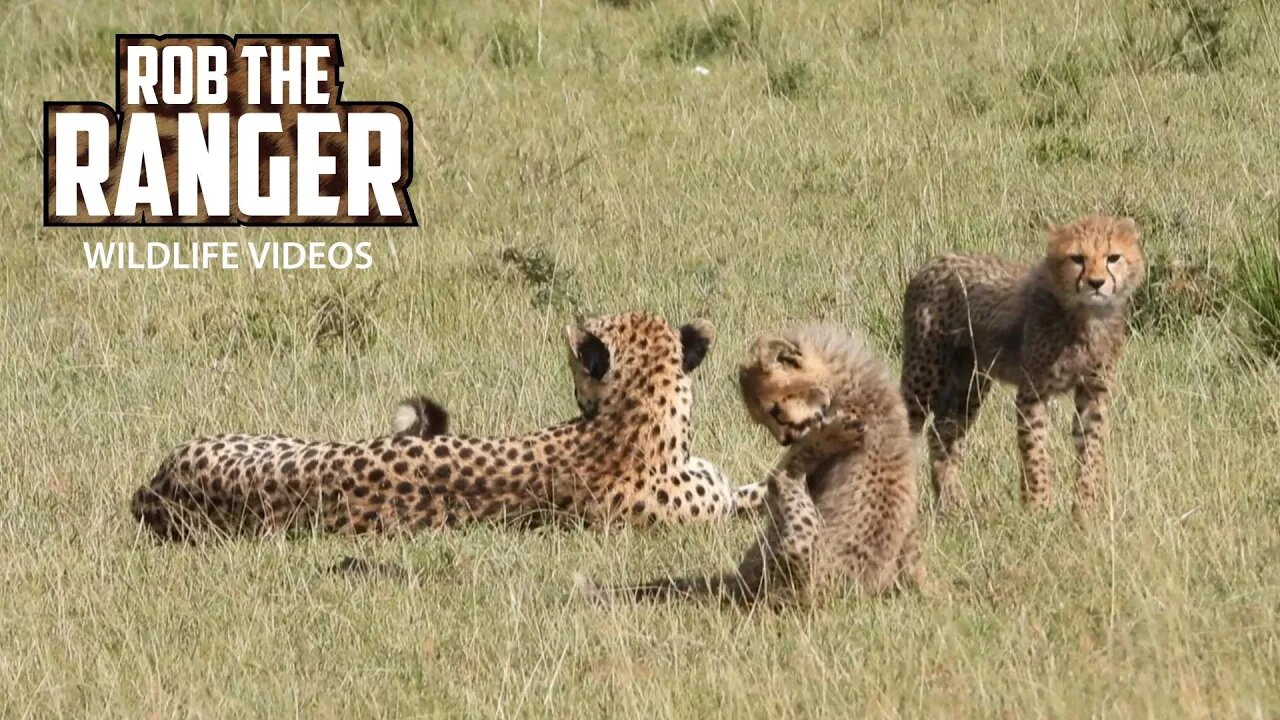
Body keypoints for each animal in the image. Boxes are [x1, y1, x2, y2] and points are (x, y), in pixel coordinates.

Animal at [578, 322, 921, 602]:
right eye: (766, 418)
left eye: (775, 411)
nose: (785, 439)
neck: (846, 382)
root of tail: (744, 586)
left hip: (797, 556)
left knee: (782, 479)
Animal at [901, 213, 1152, 515]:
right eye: (1077, 258)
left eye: (1113, 257)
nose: (1096, 283)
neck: (1086, 316)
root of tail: (934, 261)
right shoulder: (1033, 392)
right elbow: (1036, 452)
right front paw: (1039, 507)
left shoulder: (1093, 391)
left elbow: (1090, 450)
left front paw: (1086, 508)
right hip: (924, 375)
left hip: (969, 384)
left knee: (942, 433)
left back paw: (953, 503)